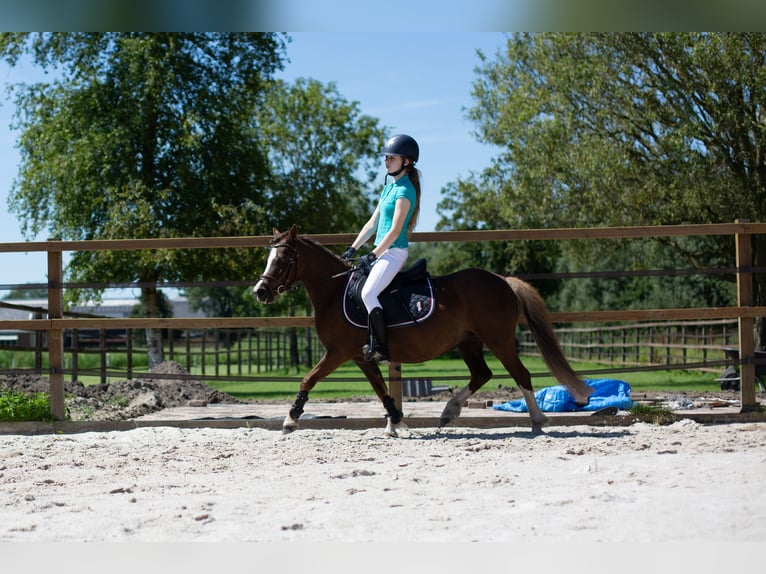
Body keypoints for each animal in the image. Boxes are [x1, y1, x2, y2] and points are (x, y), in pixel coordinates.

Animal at [254, 225, 592, 436]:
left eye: (282, 259)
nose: (260, 291)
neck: (334, 291)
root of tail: (501, 280)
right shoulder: (362, 357)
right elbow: (381, 389)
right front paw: (396, 423)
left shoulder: (338, 353)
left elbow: (308, 378)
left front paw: (290, 420)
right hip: (469, 343)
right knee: (482, 374)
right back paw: (449, 412)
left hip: (499, 340)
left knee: (521, 374)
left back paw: (537, 420)